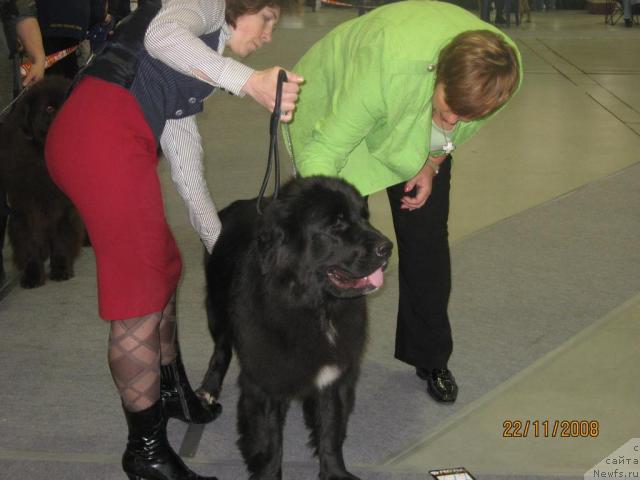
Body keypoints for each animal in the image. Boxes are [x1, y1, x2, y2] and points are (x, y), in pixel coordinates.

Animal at [0, 78, 84, 288]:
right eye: (49, 108)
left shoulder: (64, 208)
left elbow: (61, 237)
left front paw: (61, 269)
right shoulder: (26, 208)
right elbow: (31, 242)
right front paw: (32, 275)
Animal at [198, 176, 392, 480]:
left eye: (364, 217)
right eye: (336, 225)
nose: (387, 247)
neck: (316, 308)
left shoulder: (333, 376)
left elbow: (330, 432)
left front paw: (335, 473)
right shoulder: (265, 383)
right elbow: (269, 443)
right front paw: (267, 474)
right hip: (216, 309)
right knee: (220, 349)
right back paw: (208, 390)